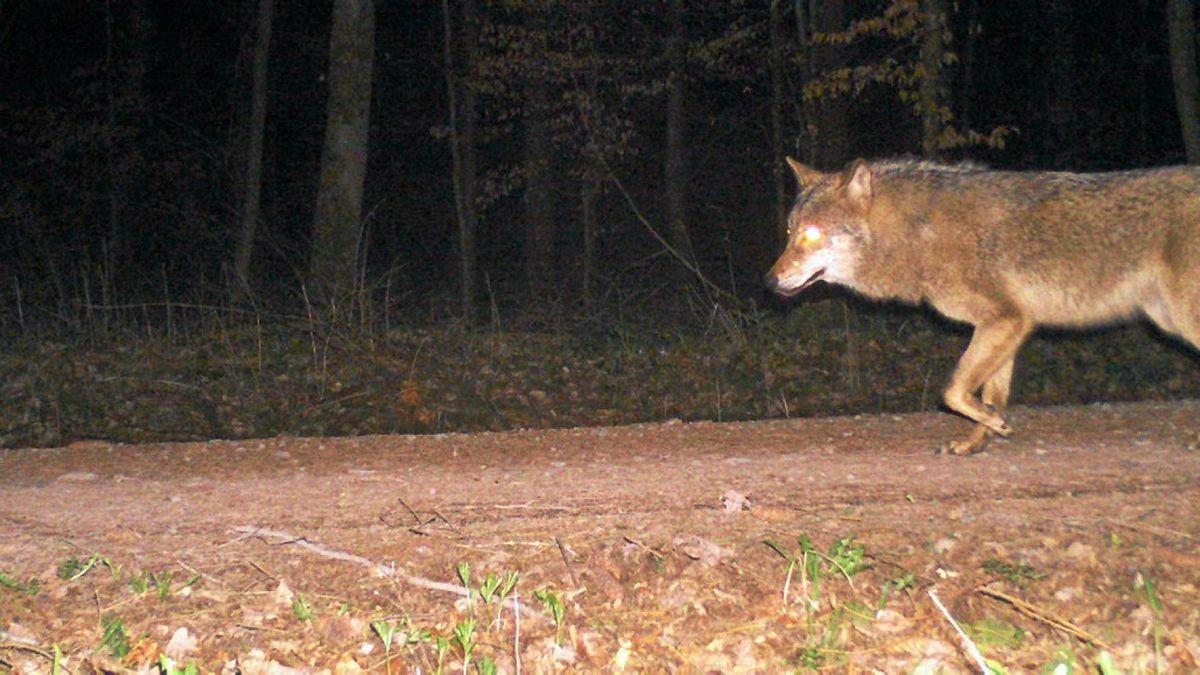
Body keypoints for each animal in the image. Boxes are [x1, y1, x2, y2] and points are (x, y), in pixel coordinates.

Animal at [768, 157, 1200, 451]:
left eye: (812, 234)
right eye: (789, 232)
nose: (769, 281)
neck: (919, 233)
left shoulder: (1006, 319)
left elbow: (953, 391)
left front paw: (995, 426)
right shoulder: (1006, 324)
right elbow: (988, 395)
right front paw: (979, 440)